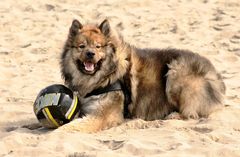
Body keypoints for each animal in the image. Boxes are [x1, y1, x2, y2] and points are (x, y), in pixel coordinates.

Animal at [59, 19, 226, 132]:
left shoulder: (102, 116)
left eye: (97, 47)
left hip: (175, 73)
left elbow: (70, 128)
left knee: (191, 113)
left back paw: (173, 116)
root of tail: (215, 75)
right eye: (82, 47)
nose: (90, 53)